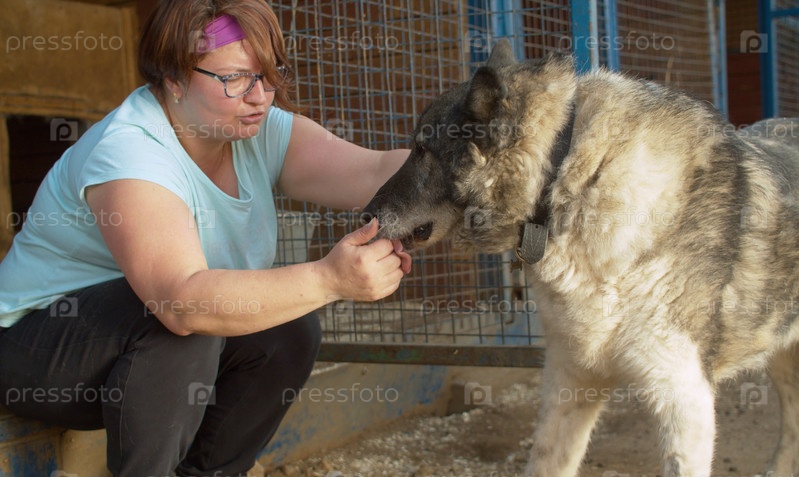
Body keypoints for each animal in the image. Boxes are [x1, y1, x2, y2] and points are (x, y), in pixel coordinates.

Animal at [363, 39, 799, 476]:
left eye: (421, 149)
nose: (365, 214)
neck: (572, 174)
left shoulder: (683, 395)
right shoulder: (570, 380)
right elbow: (546, 462)